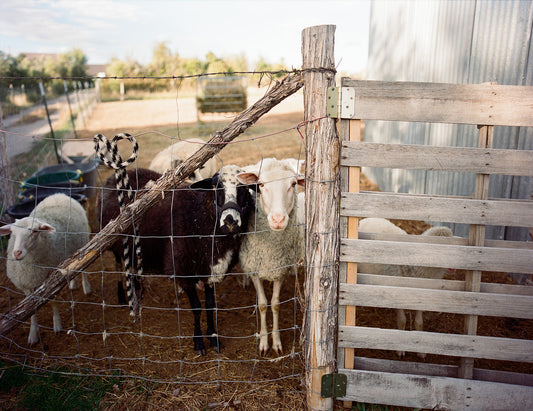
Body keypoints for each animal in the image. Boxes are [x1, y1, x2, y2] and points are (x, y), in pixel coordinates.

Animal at [0, 193, 90, 344]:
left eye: (35, 231)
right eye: (12, 232)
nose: (16, 253)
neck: (31, 265)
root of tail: (59, 194)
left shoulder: (51, 278)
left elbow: (53, 302)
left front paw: (57, 325)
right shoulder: (26, 285)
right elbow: (30, 310)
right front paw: (33, 334)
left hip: (82, 241)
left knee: (83, 265)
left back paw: (86, 287)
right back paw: (72, 283)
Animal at [97, 164, 256, 354]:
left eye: (244, 189)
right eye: (215, 186)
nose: (230, 221)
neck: (197, 217)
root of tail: (119, 174)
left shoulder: (210, 270)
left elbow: (210, 305)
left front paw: (213, 337)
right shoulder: (182, 271)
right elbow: (197, 308)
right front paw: (198, 342)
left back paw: (136, 286)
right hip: (113, 240)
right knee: (118, 264)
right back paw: (122, 294)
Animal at [236, 159, 306, 356]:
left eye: (293, 184)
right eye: (260, 184)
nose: (278, 220)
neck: (270, 250)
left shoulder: (279, 269)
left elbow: (274, 304)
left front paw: (276, 342)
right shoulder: (255, 269)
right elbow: (262, 304)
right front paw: (263, 342)